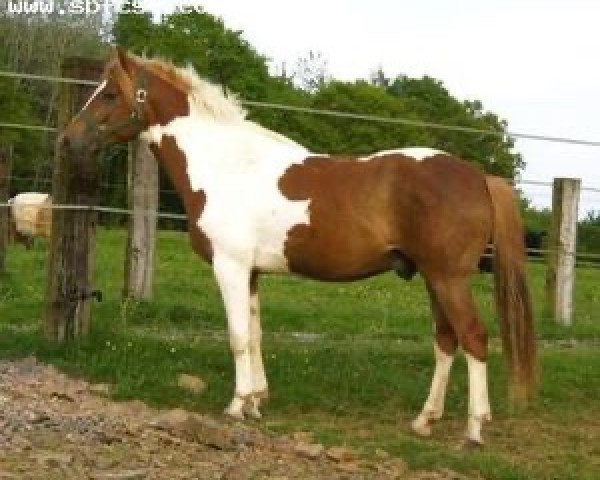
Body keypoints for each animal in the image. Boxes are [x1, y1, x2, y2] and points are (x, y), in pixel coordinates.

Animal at [59, 48, 536, 446]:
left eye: (110, 94)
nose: (68, 140)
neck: (226, 167)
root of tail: (479, 177)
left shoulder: (229, 267)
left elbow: (236, 336)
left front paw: (235, 406)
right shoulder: (251, 273)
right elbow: (254, 335)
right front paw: (255, 402)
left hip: (448, 278)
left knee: (473, 338)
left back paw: (473, 430)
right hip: (434, 279)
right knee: (446, 340)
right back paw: (424, 421)